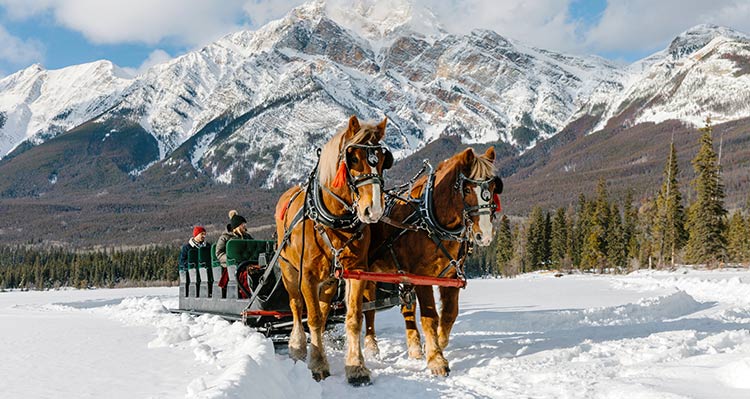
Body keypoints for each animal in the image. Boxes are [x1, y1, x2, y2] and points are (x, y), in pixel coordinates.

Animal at [274, 114, 394, 386]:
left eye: (383, 160)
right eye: (353, 158)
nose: (374, 210)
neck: (334, 220)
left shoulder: (356, 271)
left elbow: (353, 317)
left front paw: (356, 367)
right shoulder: (306, 276)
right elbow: (312, 318)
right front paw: (318, 365)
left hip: (329, 280)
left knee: (323, 308)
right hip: (288, 270)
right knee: (297, 307)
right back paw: (298, 346)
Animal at [366, 148, 506, 378]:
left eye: (494, 187)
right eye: (466, 188)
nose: (484, 235)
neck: (431, 219)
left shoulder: (450, 276)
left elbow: (448, 315)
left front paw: (436, 344)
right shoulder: (422, 277)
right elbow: (430, 317)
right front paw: (436, 360)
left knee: (407, 308)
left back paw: (414, 348)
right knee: (367, 308)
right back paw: (371, 347)